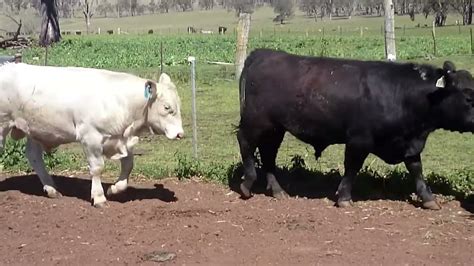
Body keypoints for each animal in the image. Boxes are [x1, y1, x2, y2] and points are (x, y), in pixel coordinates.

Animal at [0, 62, 183, 208]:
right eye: (167, 107)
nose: (180, 134)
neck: (119, 101)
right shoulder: (91, 137)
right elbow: (97, 168)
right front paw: (99, 197)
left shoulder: (122, 140)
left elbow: (128, 165)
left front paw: (114, 189)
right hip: (3, 126)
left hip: (36, 130)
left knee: (34, 156)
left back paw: (51, 189)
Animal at [239, 48, 474, 209]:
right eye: (468, 97)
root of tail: (263, 53)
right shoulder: (359, 140)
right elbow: (352, 167)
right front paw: (344, 197)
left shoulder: (409, 143)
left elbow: (416, 169)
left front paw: (428, 199)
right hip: (256, 122)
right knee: (246, 144)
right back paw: (247, 184)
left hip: (275, 128)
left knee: (268, 154)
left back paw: (278, 190)